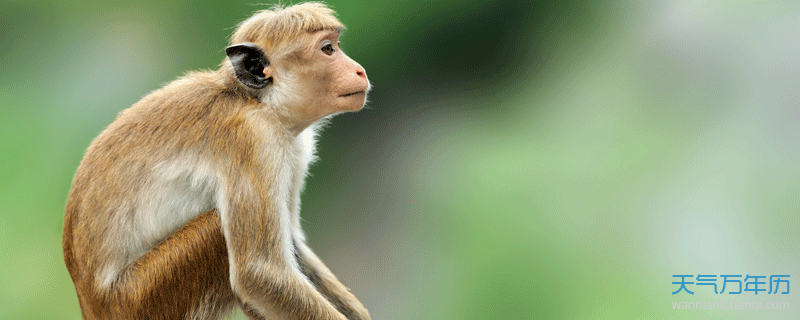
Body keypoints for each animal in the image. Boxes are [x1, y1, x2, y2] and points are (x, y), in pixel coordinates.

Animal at [62, 3, 372, 320]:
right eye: (327, 50)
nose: (359, 69)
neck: (255, 101)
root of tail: (89, 303)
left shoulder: (294, 147)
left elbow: (292, 244)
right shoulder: (253, 140)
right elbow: (258, 273)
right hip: (139, 300)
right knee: (215, 233)